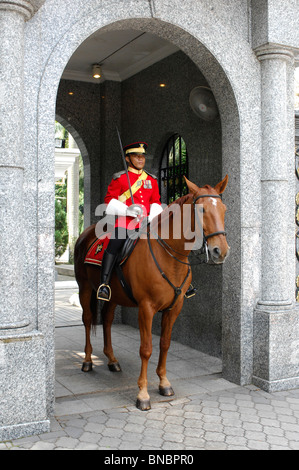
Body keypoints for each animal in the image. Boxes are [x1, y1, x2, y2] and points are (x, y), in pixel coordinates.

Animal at [73, 174, 230, 410]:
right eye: (202, 210)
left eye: (224, 209)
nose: (221, 251)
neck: (169, 257)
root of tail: (87, 233)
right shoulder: (146, 308)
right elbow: (146, 349)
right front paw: (143, 394)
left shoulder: (175, 307)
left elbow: (164, 344)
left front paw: (164, 383)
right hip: (84, 288)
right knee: (88, 319)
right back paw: (88, 361)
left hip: (113, 295)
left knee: (107, 320)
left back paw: (112, 360)